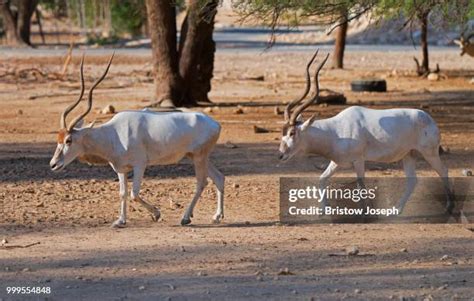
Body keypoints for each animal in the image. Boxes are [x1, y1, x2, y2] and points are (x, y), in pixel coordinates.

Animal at [50, 54, 226, 227]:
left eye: (69, 140)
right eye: (58, 139)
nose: (53, 164)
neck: (113, 134)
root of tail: (215, 124)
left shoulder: (140, 165)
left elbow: (134, 194)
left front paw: (156, 214)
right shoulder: (121, 169)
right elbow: (122, 193)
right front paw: (120, 221)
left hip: (199, 157)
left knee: (201, 182)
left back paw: (186, 218)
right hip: (197, 156)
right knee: (219, 178)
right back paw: (217, 216)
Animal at [280, 49, 454, 213]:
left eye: (292, 133)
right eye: (283, 132)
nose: (281, 155)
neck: (335, 131)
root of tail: (429, 119)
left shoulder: (358, 160)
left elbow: (360, 186)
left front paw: (364, 212)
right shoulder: (337, 162)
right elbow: (322, 179)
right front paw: (324, 210)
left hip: (429, 153)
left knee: (443, 171)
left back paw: (448, 207)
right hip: (408, 155)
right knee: (413, 180)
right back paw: (396, 210)